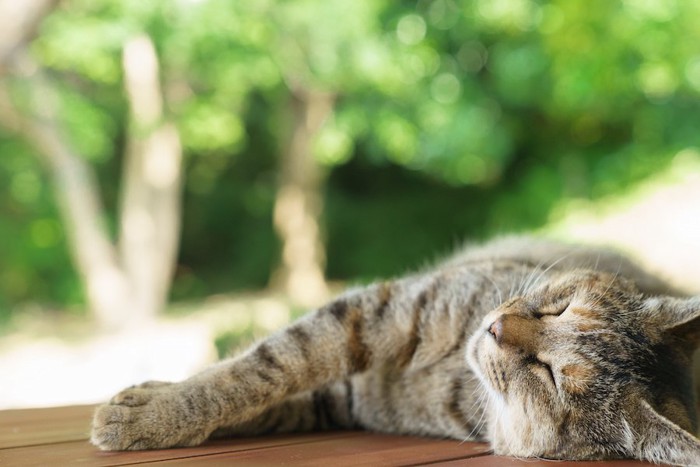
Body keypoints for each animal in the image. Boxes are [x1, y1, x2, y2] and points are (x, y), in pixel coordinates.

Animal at [90, 239, 696, 466]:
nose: (497, 327)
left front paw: (149, 416)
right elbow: (257, 371)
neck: (454, 372)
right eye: (560, 307)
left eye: (547, 375)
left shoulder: (346, 391)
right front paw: (160, 404)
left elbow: (263, 378)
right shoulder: (377, 313)